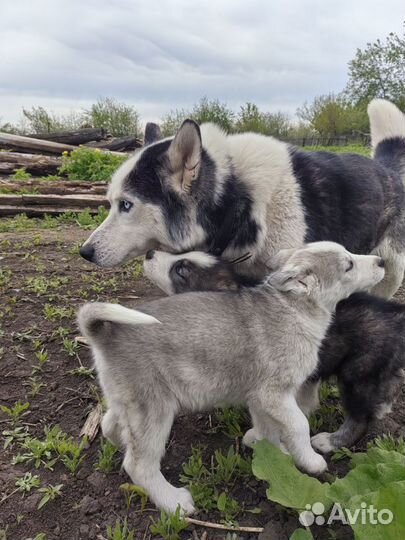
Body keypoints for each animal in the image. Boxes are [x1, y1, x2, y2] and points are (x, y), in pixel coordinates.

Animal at [79, 99, 404, 298]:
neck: (238, 202)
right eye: (110, 203)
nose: (85, 252)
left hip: (391, 271)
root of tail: (386, 165)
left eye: (126, 205)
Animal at [144, 249, 404, 452]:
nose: (148, 253)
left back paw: (331, 441)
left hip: (359, 373)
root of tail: (395, 313)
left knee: (359, 418)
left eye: (181, 271)